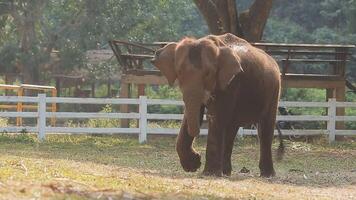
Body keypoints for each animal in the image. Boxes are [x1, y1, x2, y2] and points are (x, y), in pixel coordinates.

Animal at [151, 33, 284, 177]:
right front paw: (193, 165)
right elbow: (193, 113)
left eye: (208, 73)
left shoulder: (231, 82)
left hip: (274, 90)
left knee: (265, 128)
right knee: (232, 129)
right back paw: (226, 172)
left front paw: (209, 173)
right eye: (179, 72)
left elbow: (216, 116)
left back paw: (267, 175)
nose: (197, 156)